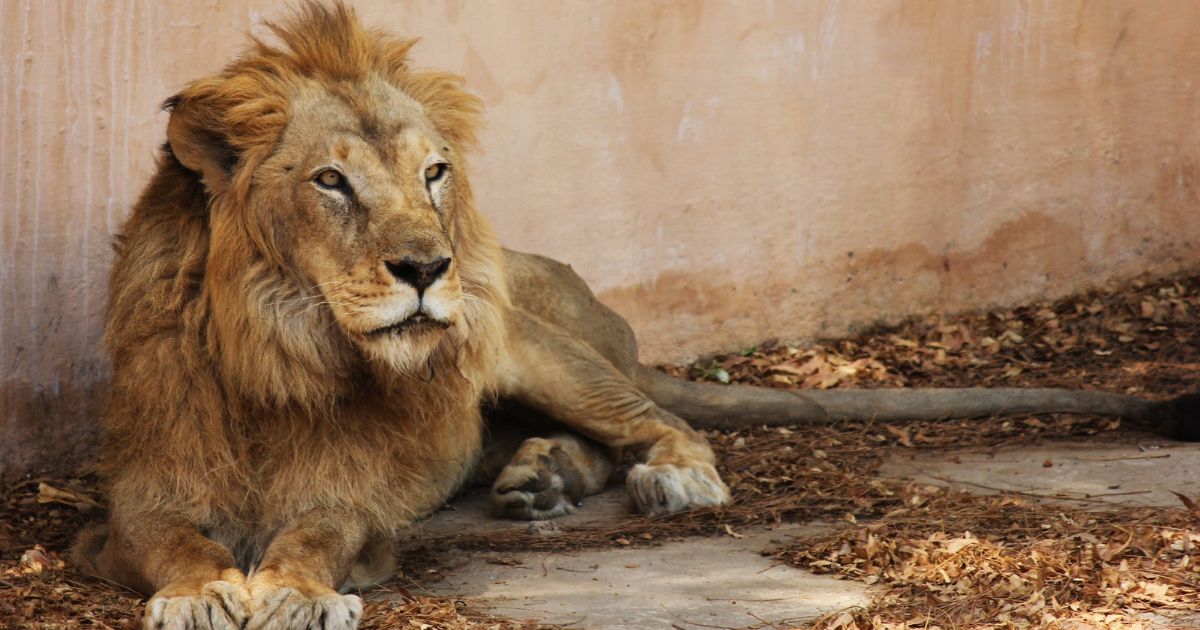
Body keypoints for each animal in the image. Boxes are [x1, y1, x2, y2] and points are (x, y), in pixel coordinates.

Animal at [79, 2, 1195, 624]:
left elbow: (317, 536)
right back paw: (536, 479)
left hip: (532, 345)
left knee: (655, 420)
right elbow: (174, 543)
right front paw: (204, 593)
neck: (283, 351)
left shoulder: (355, 501)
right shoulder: (137, 498)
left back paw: (669, 481)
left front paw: (295, 595)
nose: (430, 266)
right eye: (332, 182)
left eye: (433, 173)